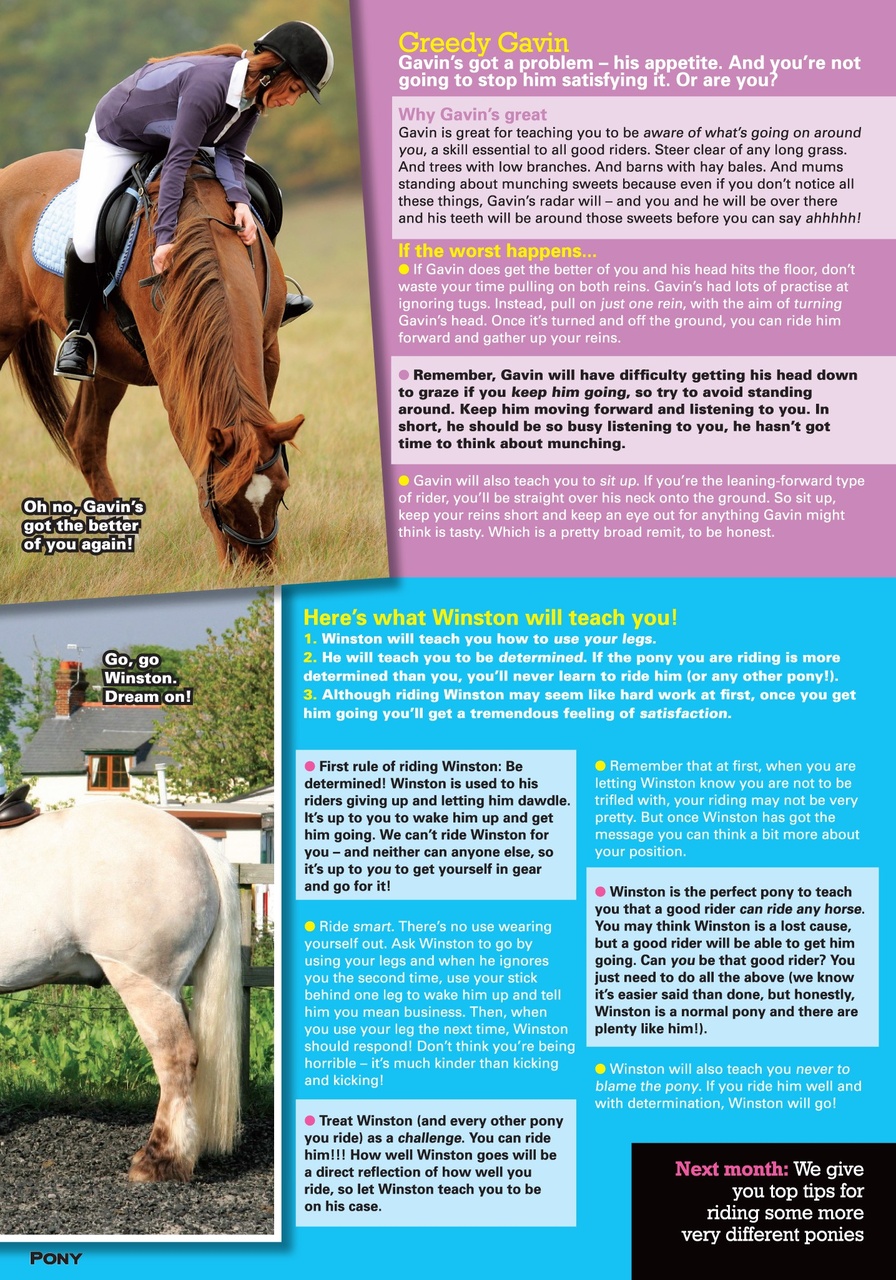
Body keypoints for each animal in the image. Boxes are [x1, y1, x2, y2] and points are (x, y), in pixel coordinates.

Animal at [0, 150, 304, 566]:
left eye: (281, 490)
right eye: (220, 501)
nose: (258, 570)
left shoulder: (268, 349)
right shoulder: (174, 378)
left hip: (106, 366)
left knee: (84, 435)